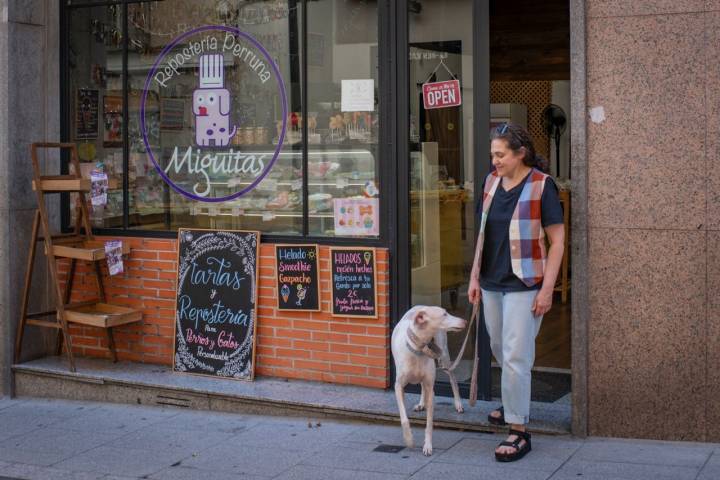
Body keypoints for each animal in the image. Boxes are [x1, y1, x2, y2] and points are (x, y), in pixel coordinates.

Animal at [394, 306, 466, 456]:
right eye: (444, 314)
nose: (465, 321)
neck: (418, 350)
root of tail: (419, 306)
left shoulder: (431, 388)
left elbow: (429, 424)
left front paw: (427, 446)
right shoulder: (398, 387)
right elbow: (404, 418)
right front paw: (409, 440)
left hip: (443, 355)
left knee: (453, 379)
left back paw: (458, 404)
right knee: (422, 386)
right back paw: (421, 404)